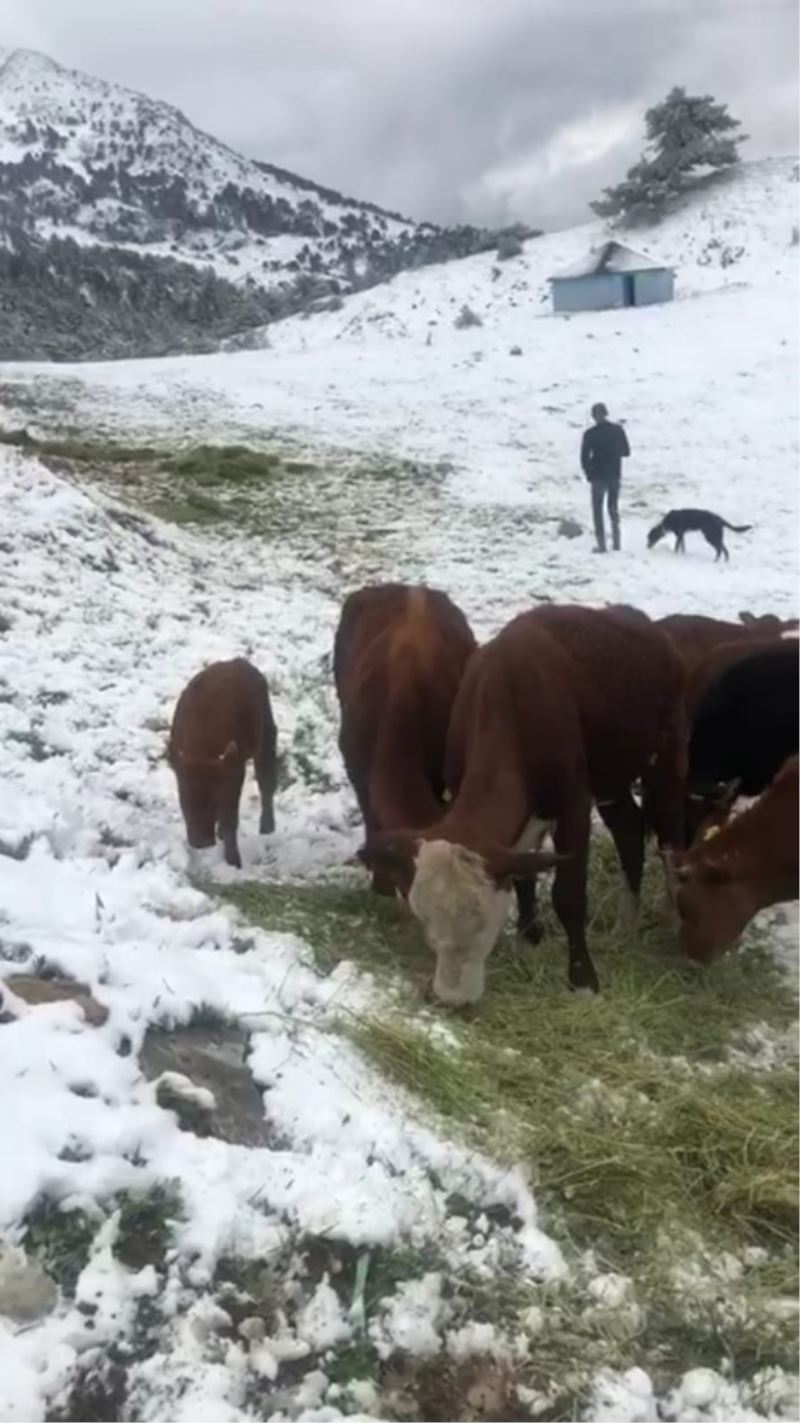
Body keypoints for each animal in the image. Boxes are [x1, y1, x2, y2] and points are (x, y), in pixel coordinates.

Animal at [166, 654, 276, 865]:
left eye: (214, 801)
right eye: (184, 796)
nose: (201, 842)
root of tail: (241, 663)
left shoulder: (234, 772)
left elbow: (229, 817)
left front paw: (234, 861)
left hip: (267, 737)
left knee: (266, 781)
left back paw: (267, 827)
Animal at [358, 606, 683, 1007]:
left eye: (481, 918)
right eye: (425, 920)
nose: (452, 998)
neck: (507, 701)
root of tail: (648, 625)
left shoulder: (572, 804)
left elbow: (568, 895)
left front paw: (582, 980)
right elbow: (523, 871)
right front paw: (529, 939)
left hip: (667, 756)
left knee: (671, 834)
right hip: (611, 777)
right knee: (629, 829)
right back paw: (625, 924)